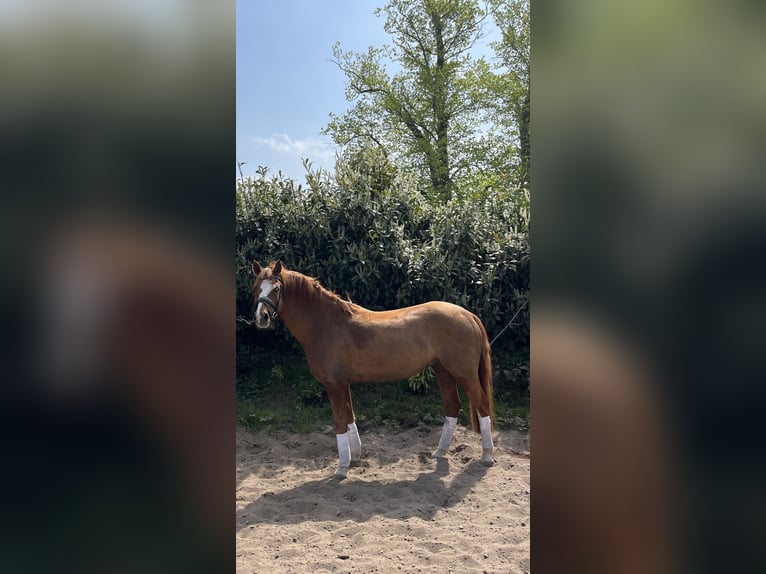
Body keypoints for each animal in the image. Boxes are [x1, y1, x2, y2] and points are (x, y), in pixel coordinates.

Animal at [250, 260, 495, 479]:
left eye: (276, 288)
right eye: (256, 287)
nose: (261, 318)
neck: (326, 325)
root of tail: (468, 315)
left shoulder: (334, 384)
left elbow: (339, 421)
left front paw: (341, 468)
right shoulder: (343, 383)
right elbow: (350, 417)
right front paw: (355, 458)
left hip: (464, 373)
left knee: (482, 404)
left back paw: (487, 456)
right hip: (443, 371)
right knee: (453, 406)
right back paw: (440, 452)